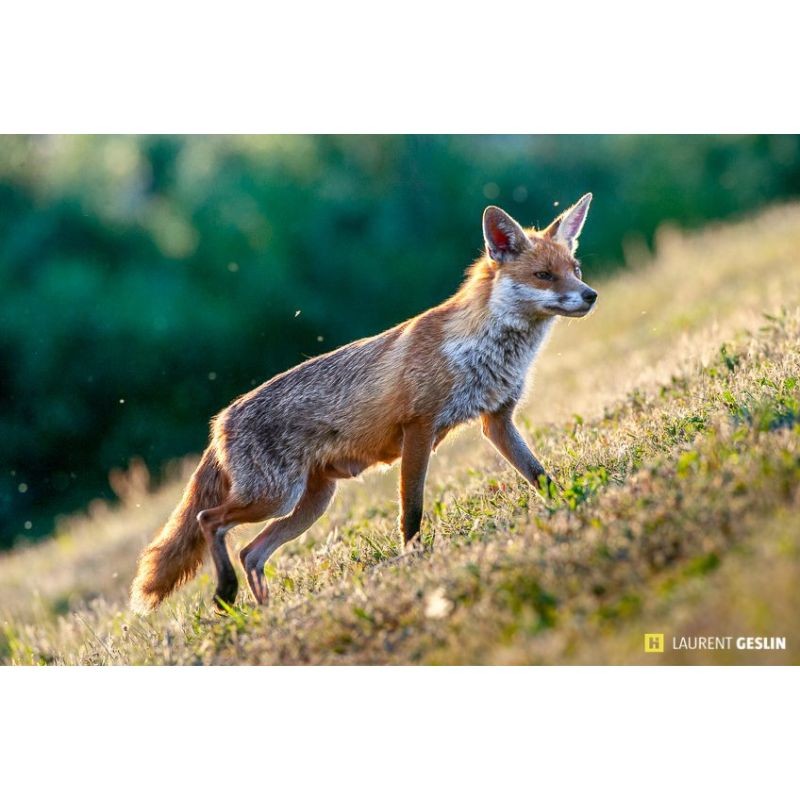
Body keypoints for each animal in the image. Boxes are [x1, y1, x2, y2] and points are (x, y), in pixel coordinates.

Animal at [130, 193, 597, 613]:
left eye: (574, 270)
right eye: (543, 275)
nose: (590, 294)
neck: (479, 349)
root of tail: (219, 422)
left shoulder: (496, 420)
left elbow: (540, 476)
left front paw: (572, 503)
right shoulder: (419, 428)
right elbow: (412, 510)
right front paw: (414, 559)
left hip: (309, 503)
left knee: (252, 552)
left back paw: (261, 613)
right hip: (275, 497)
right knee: (209, 521)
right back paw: (226, 594)